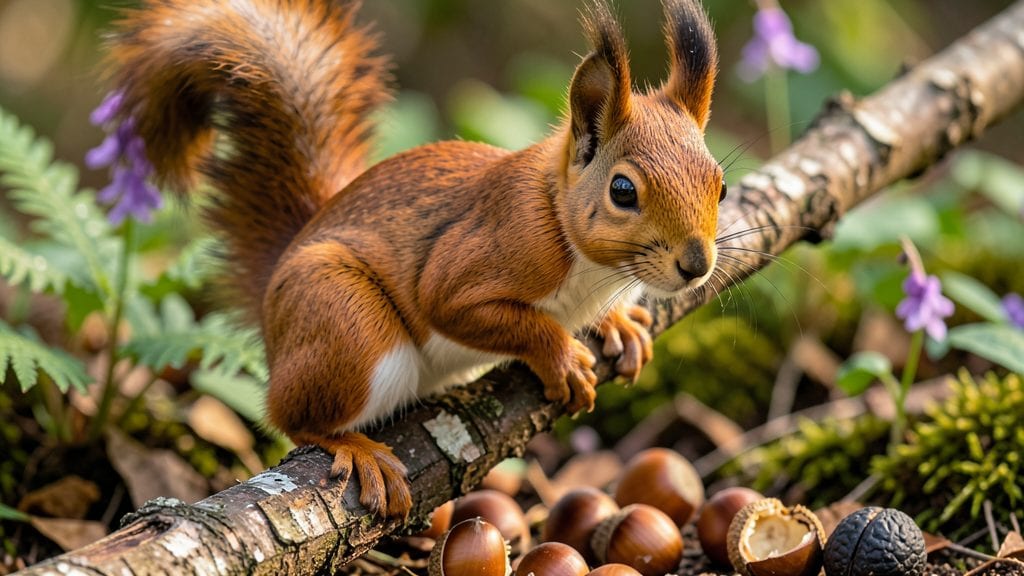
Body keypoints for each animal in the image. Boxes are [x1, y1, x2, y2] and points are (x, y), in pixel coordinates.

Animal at [107, 0, 723, 519]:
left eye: (718, 182)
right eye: (623, 191)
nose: (696, 265)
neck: (592, 267)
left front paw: (619, 324)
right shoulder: (484, 258)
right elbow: (470, 308)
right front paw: (562, 355)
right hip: (346, 322)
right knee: (291, 416)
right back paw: (356, 449)